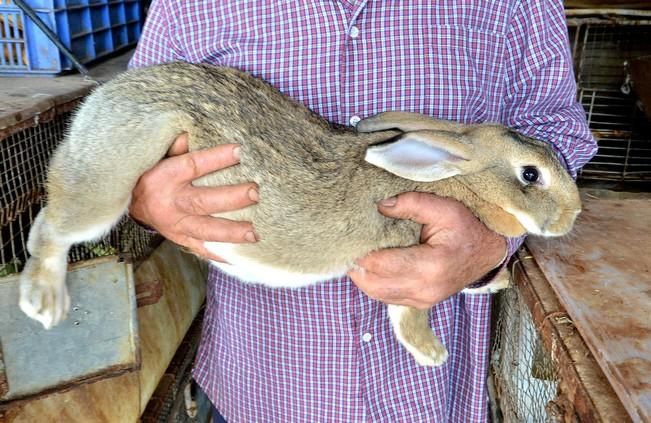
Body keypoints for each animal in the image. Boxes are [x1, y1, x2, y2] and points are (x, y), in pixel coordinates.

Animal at [19, 62, 580, 368]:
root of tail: (103, 94)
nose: (571, 217)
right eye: (531, 175)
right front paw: (430, 352)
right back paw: (43, 303)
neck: (455, 178)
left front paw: (498, 281)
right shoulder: (404, 243)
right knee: (51, 226)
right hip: (110, 178)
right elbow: (407, 313)